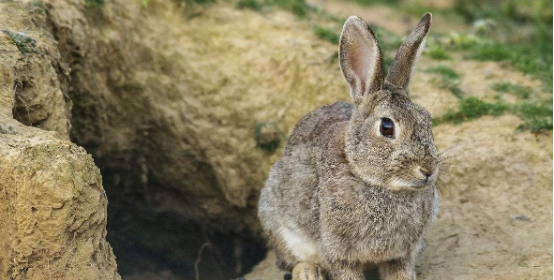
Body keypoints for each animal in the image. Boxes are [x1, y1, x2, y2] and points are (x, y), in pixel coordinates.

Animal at [258, 12, 440, 280]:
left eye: (427, 120)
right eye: (387, 127)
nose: (427, 170)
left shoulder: (402, 254)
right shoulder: (339, 252)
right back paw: (308, 272)